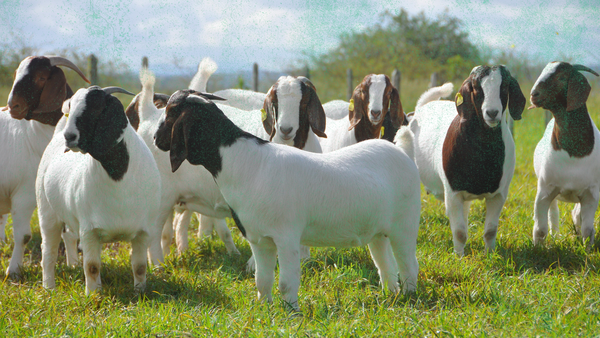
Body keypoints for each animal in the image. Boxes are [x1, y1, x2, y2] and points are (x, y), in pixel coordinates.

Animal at [0, 56, 89, 278]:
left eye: (41, 77)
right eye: (16, 73)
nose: (12, 106)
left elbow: (68, 233)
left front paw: (73, 265)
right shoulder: (23, 195)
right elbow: (23, 236)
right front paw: (13, 271)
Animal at [36, 85, 163, 294]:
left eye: (95, 108)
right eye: (71, 107)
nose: (69, 137)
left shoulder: (144, 231)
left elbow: (139, 266)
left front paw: (139, 292)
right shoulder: (89, 230)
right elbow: (92, 266)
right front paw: (93, 295)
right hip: (47, 213)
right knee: (48, 252)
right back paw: (49, 288)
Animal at [152, 89, 420, 308]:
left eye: (172, 113)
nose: (154, 138)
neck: (245, 161)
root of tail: (403, 151)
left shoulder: (287, 237)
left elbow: (286, 283)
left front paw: (292, 313)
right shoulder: (260, 239)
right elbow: (262, 280)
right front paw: (264, 307)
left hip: (405, 225)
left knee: (408, 264)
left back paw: (409, 296)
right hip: (378, 232)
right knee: (385, 264)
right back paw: (389, 295)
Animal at [408, 65, 524, 256]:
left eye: (504, 87)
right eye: (476, 88)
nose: (492, 113)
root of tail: (423, 107)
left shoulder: (499, 195)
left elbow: (490, 230)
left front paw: (489, 254)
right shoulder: (453, 193)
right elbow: (459, 231)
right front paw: (459, 256)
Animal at [528, 61, 600, 251]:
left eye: (562, 77)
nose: (533, 94)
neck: (574, 155)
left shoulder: (591, 194)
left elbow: (588, 229)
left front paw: (587, 251)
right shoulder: (544, 190)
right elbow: (540, 229)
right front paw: (538, 250)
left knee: (576, 214)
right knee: (554, 214)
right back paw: (555, 236)